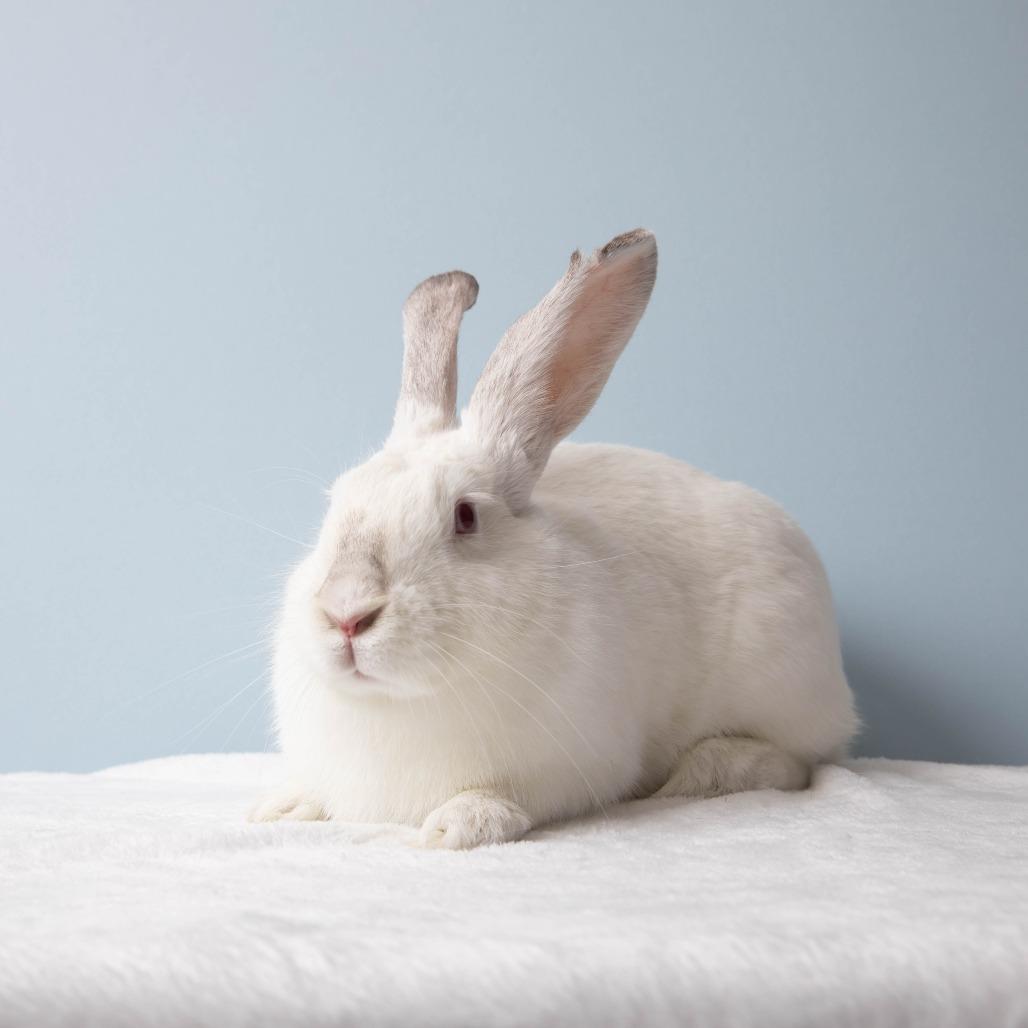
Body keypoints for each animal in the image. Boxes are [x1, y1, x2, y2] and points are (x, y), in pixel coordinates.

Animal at [249, 228, 859, 849]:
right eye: (335, 503)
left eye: (465, 516)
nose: (346, 614)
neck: (393, 702)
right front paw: (282, 808)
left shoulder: (572, 767)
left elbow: (504, 795)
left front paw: (459, 823)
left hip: (784, 680)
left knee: (799, 762)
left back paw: (707, 772)